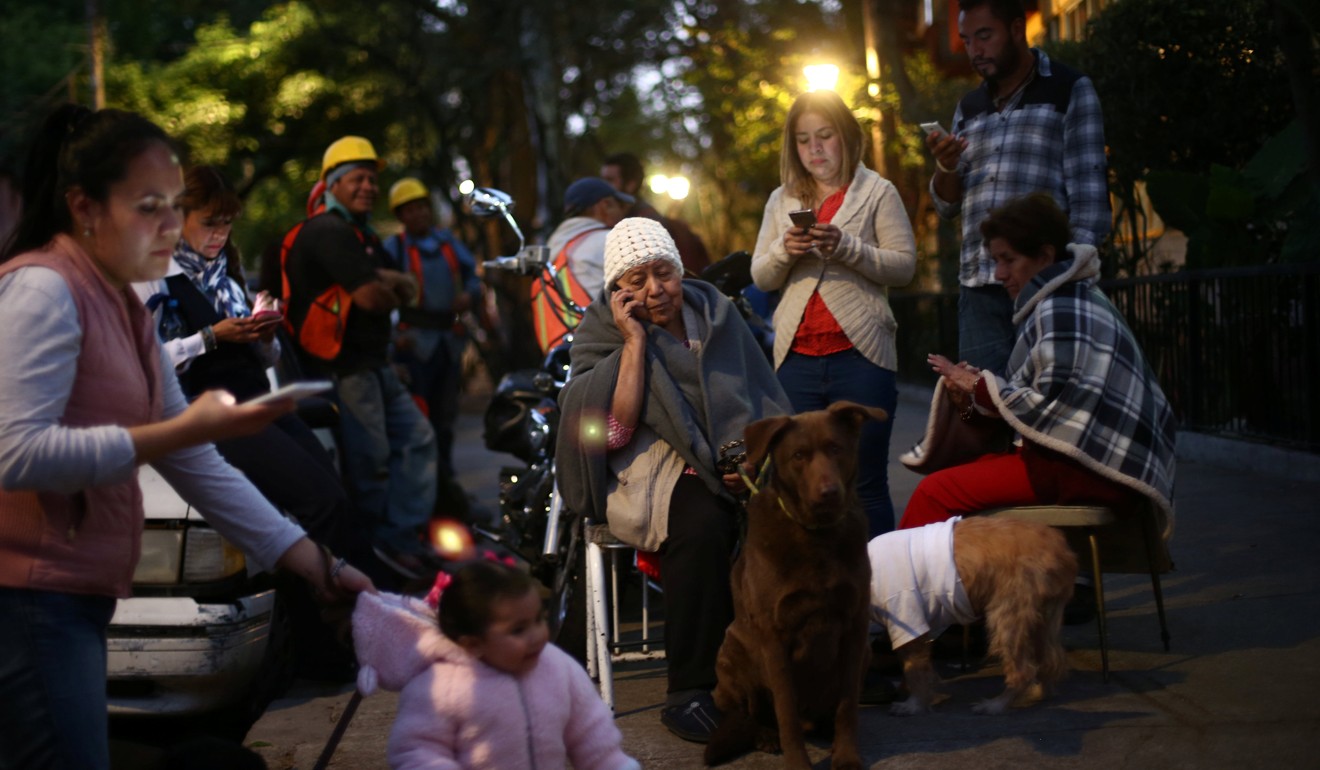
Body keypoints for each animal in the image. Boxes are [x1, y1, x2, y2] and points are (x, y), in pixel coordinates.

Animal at [707, 401, 881, 766]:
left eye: (836, 448)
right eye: (799, 455)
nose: (829, 493)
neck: (818, 535)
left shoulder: (855, 627)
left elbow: (848, 706)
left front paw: (846, 755)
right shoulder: (775, 636)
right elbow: (785, 710)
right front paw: (798, 763)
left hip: (868, 652)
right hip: (732, 652)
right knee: (750, 712)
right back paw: (765, 736)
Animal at [871, 515, 1077, 718]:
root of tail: (1062, 549)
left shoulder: (908, 615)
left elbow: (913, 670)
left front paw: (914, 704)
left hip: (1006, 615)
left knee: (1024, 670)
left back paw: (997, 705)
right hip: (1039, 617)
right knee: (1050, 659)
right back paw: (1041, 691)